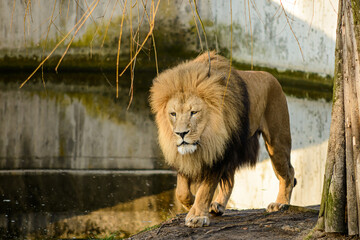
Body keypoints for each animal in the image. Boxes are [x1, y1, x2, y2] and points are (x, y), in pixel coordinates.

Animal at [148, 51, 296, 228]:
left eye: (194, 112)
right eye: (173, 114)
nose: (181, 133)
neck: (207, 137)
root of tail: (270, 76)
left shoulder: (217, 153)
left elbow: (205, 189)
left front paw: (197, 216)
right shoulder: (190, 155)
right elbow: (181, 191)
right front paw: (191, 204)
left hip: (276, 142)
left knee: (288, 172)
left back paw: (281, 203)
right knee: (230, 181)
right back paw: (217, 206)